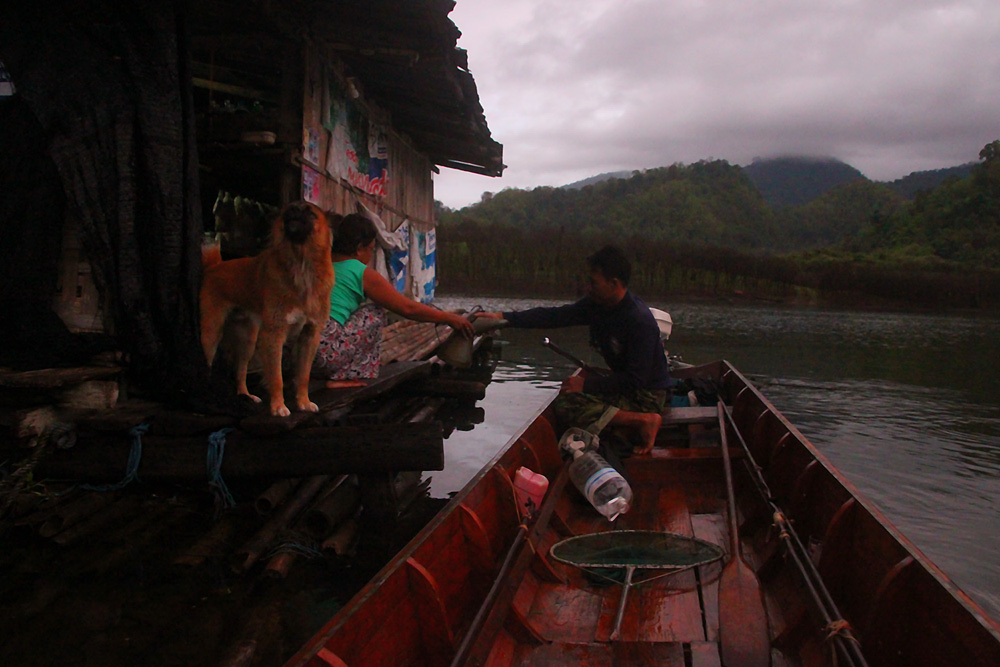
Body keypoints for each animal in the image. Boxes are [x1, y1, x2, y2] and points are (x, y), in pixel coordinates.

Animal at [200, 201, 336, 418]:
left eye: (309, 212)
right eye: (288, 209)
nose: (294, 210)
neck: (302, 262)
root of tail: (215, 266)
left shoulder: (310, 335)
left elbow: (303, 376)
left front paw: (303, 402)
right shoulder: (274, 334)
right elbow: (277, 377)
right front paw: (278, 406)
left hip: (248, 340)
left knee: (240, 371)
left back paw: (246, 395)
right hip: (210, 334)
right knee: (208, 365)